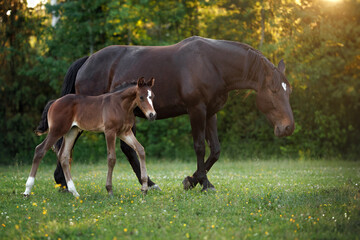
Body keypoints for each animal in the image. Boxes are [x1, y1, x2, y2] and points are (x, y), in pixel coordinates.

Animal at [23, 77, 156, 197]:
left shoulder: (125, 132)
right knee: (40, 150)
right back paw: (27, 191)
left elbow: (141, 150)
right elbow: (111, 158)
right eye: (141, 97)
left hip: (71, 132)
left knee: (64, 156)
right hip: (57, 130)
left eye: (152, 96)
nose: (152, 115)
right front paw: (109, 190)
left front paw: (144, 188)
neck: (120, 105)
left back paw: (75, 192)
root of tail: (54, 102)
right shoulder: (110, 131)